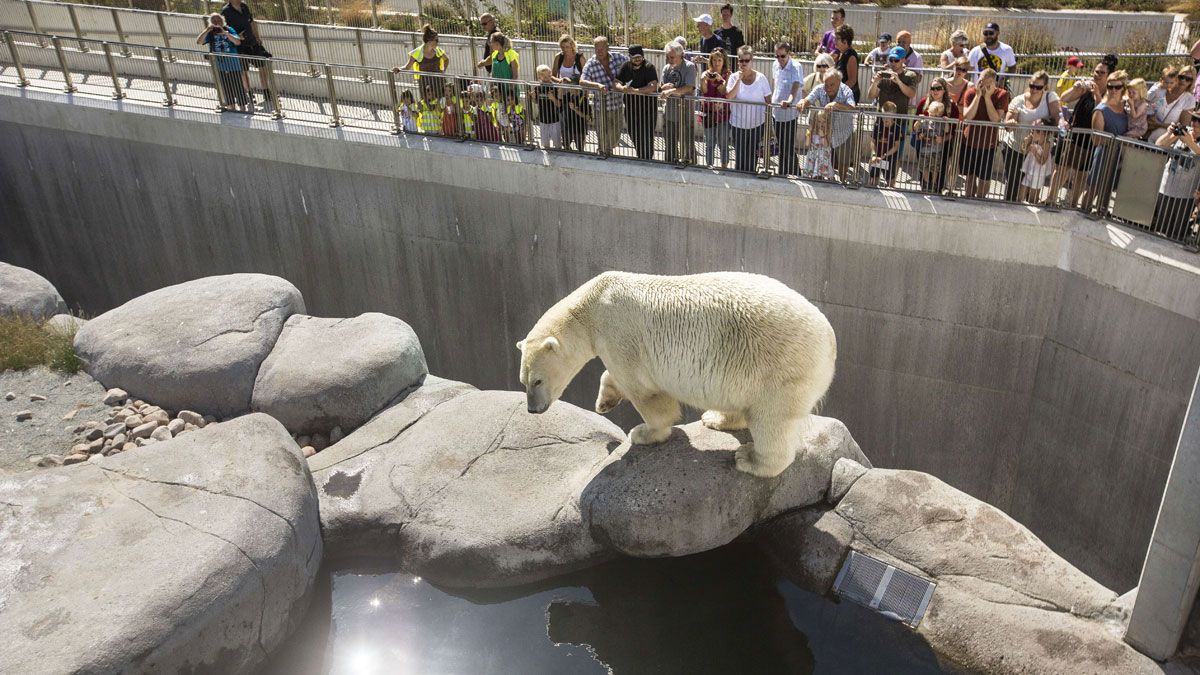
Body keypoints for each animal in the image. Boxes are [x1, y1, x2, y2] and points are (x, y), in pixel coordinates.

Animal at [516, 270, 835, 475]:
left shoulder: (619, 336)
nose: (533, 409)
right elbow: (613, 376)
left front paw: (643, 432)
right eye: (523, 382)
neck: (591, 307)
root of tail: (830, 342)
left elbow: (645, 392)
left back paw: (750, 459)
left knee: (773, 420)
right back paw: (716, 419)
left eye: (537, 380)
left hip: (778, 367)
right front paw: (605, 402)